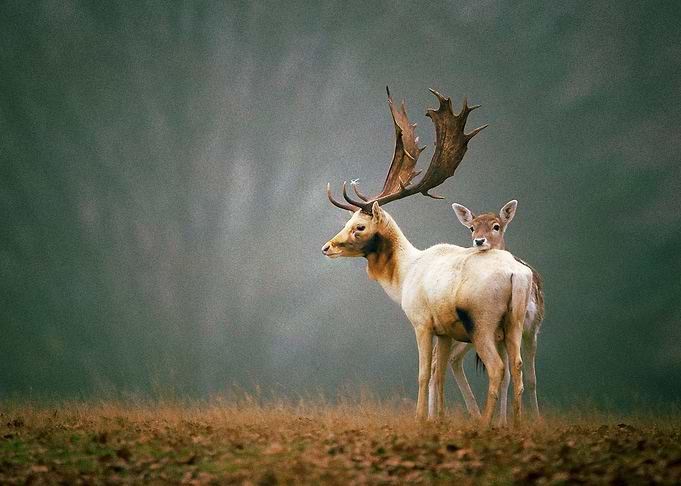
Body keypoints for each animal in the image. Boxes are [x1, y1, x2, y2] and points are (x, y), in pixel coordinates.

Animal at [428, 200, 545, 424]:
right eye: (472, 227)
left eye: (496, 226)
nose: (479, 241)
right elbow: (510, 376)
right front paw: (504, 422)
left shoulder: (532, 327)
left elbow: (529, 378)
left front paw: (529, 420)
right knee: (439, 362)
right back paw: (432, 417)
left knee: (449, 360)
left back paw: (471, 415)